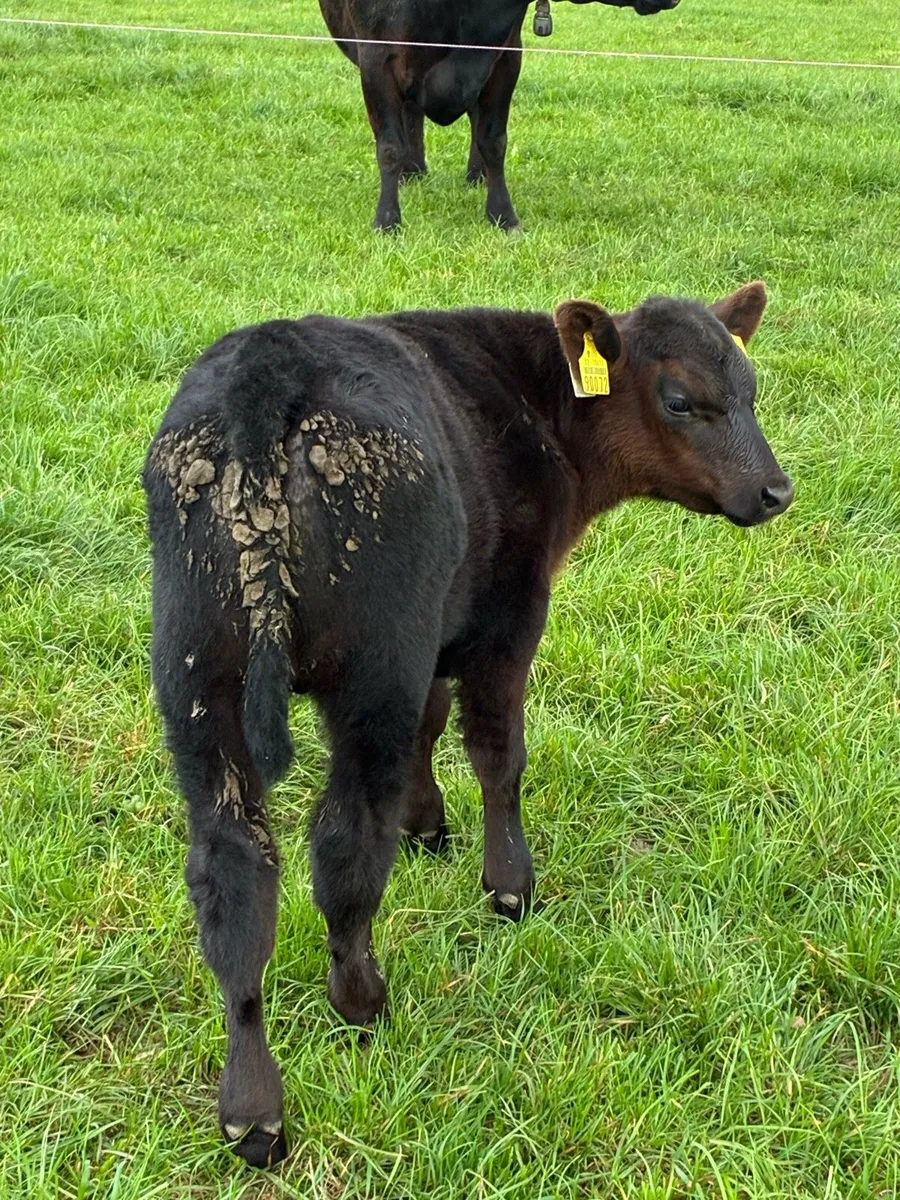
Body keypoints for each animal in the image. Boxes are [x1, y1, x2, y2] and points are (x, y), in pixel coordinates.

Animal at [143, 280, 792, 1166]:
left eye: (752, 389)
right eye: (681, 399)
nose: (776, 491)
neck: (538, 409)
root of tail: (264, 380)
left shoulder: (439, 637)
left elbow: (434, 719)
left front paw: (427, 826)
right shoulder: (510, 614)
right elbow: (496, 753)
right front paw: (510, 887)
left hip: (197, 673)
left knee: (233, 868)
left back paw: (250, 1108)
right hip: (372, 665)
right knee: (343, 843)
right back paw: (362, 1003)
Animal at [318, 0, 682, 231]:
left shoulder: (505, 56)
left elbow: (493, 141)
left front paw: (503, 216)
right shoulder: (376, 59)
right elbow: (390, 147)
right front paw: (387, 221)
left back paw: (474, 175)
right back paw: (412, 172)